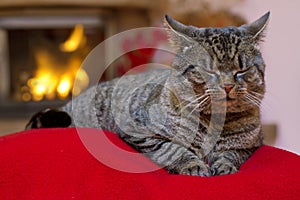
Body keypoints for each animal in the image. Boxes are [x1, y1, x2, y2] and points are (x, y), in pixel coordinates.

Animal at [25, 11, 270, 176]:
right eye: (208, 70)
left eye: (242, 70)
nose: (227, 85)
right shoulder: (140, 133)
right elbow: (173, 150)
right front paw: (194, 165)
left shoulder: (251, 144)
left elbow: (233, 153)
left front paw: (224, 165)